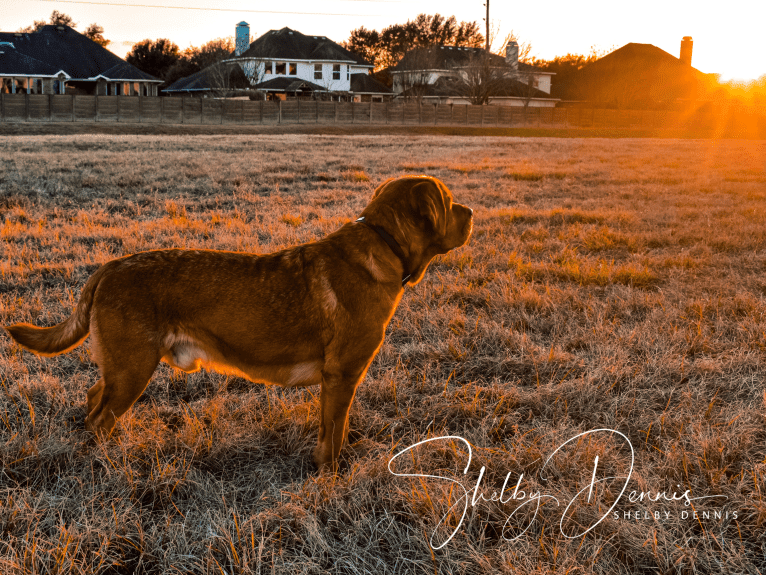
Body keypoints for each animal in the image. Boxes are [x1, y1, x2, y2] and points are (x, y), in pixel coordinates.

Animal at [4, 176, 474, 472]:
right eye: (449, 202)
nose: (471, 211)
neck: (384, 243)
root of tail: (110, 266)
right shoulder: (341, 377)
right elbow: (333, 437)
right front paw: (330, 476)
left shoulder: (334, 380)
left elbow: (328, 432)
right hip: (133, 367)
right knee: (100, 416)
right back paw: (105, 459)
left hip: (121, 367)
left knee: (93, 398)